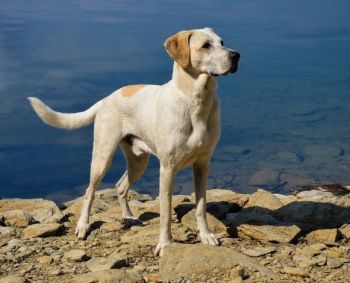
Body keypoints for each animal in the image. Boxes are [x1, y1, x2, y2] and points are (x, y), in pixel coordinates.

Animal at [28, 27, 239, 256]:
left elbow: (201, 205)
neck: (196, 100)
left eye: (222, 42)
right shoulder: (168, 168)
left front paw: (206, 235)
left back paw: (128, 217)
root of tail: (105, 100)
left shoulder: (202, 164)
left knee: (121, 186)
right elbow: (165, 212)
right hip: (103, 156)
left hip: (139, 161)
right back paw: (83, 225)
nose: (236, 56)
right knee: (89, 191)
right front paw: (165, 244)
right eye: (205, 46)